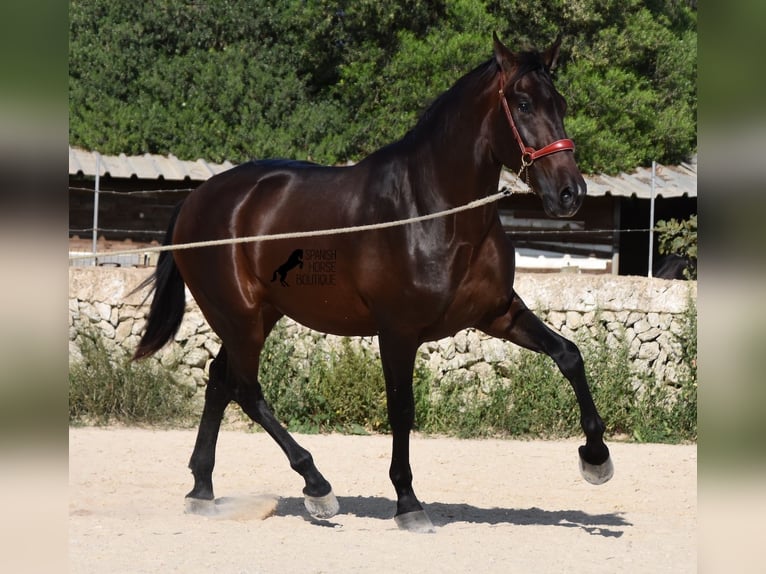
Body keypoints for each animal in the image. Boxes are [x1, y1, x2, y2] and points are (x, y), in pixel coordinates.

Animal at [130, 33, 612, 532]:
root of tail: (195, 200)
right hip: (240, 317)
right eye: (522, 103)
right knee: (245, 389)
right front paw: (408, 502)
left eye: (560, 103)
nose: (571, 193)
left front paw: (596, 458)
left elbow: (569, 355)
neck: (434, 213)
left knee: (220, 382)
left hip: (257, 317)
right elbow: (401, 407)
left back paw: (202, 491)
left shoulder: (498, 313)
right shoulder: (397, 331)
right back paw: (317, 486)